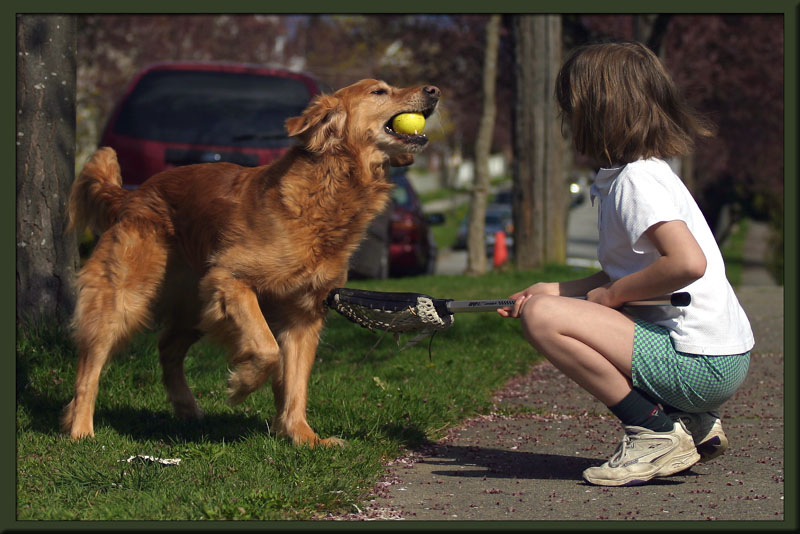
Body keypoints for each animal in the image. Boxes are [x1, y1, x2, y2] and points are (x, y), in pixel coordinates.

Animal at [61, 79, 440, 448]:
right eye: (379, 91)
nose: (434, 90)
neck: (328, 190)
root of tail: (133, 195)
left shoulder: (303, 315)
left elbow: (296, 381)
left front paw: (303, 436)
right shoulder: (231, 280)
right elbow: (268, 349)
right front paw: (242, 384)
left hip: (195, 307)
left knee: (167, 348)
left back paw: (186, 407)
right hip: (124, 298)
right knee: (88, 368)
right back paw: (81, 429)